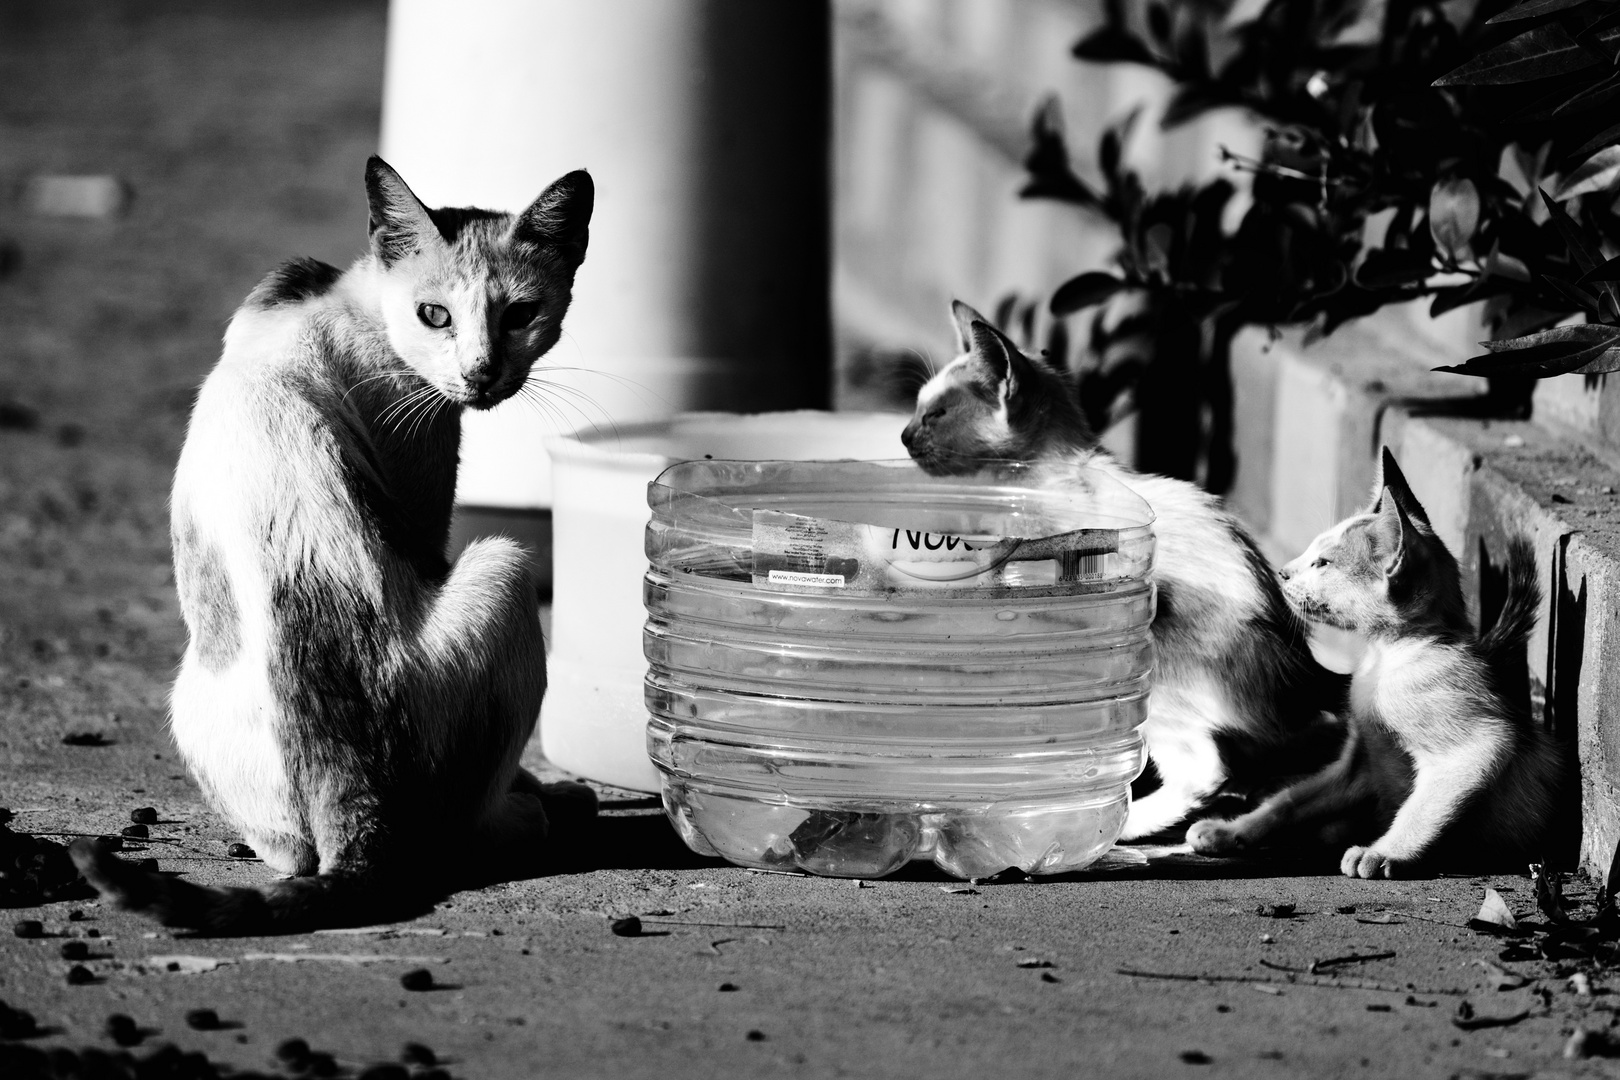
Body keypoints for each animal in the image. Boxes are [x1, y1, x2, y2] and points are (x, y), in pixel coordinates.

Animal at [72, 158, 599, 932]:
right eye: (435, 315)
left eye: (520, 315)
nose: (479, 373)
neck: (353, 296)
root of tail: (347, 780)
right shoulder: (425, 500)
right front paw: (544, 790)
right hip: (505, 562)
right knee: (452, 834)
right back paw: (532, 813)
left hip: (189, 705)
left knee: (298, 856)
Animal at [907, 299, 1347, 841]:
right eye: (918, 408)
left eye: (936, 414)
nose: (904, 435)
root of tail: (1300, 658)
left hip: (1146, 662)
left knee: (1204, 769)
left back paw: (1115, 825)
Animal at [1192, 446, 1568, 880]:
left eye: (1323, 563)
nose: (1282, 572)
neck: (1385, 654)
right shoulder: (1358, 763)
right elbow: (1290, 800)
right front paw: (1233, 830)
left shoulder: (1480, 745)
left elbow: (1420, 807)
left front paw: (1386, 851)